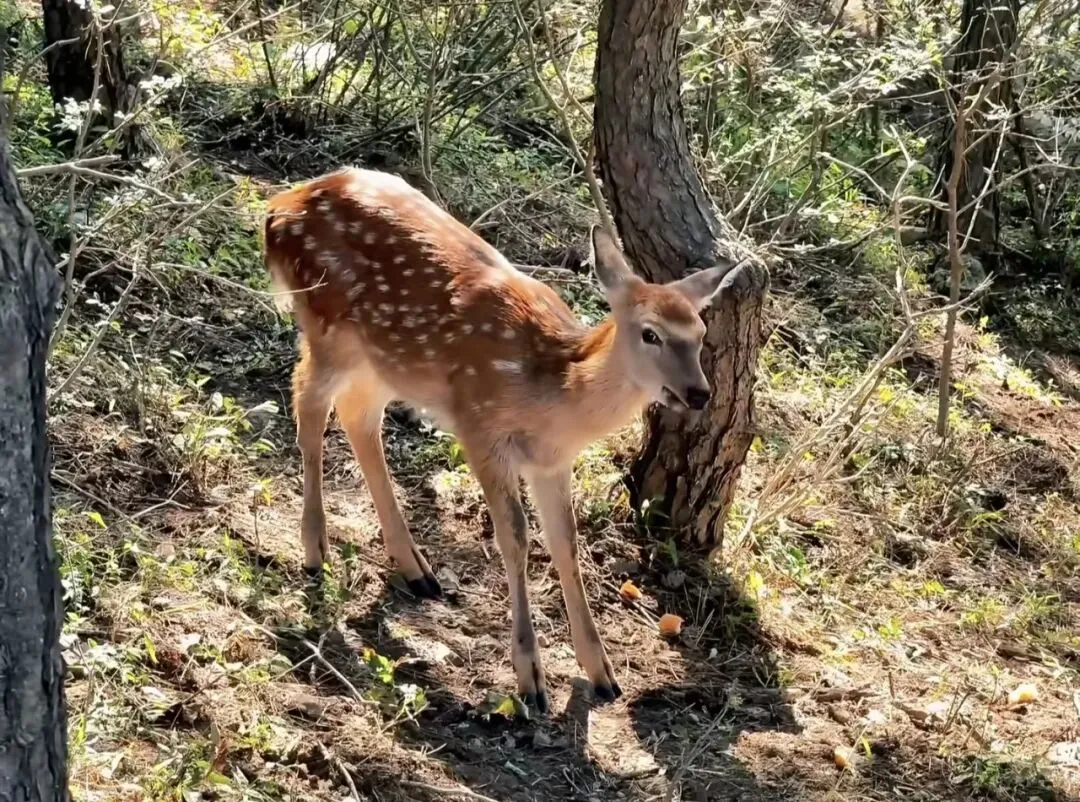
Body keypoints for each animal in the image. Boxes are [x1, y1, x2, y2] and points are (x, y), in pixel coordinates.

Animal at [263, 167, 732, 712]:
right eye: (650, 333)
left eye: (699, 333)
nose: (698, 393)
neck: (554, 397)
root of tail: (277, 208)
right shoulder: (480, 427)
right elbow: (516, 538)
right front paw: (530, 679)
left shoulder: (552, 462)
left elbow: (566, 543)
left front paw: (602, 673)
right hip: (326, 321)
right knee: (307, 399)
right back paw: (315, 550)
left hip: (385, 359)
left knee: (358, 416)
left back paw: (416, 568)